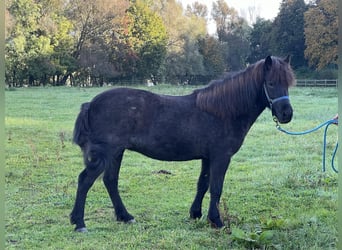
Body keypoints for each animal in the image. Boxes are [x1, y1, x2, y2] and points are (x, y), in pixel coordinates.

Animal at [71, 55, 296, 231]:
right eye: (271, 83)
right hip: (105, 153)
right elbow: (216, 187)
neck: (222, 111)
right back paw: (79, 223)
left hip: (116, 153)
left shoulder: (207, 157)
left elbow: (203, 184)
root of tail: (91, 104)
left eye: (287, 83)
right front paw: (216, 221)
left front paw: (196, 213)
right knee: (85, 180)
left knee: (110, 181)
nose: (286, 114)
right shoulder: (221, 157)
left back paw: (125, 216)